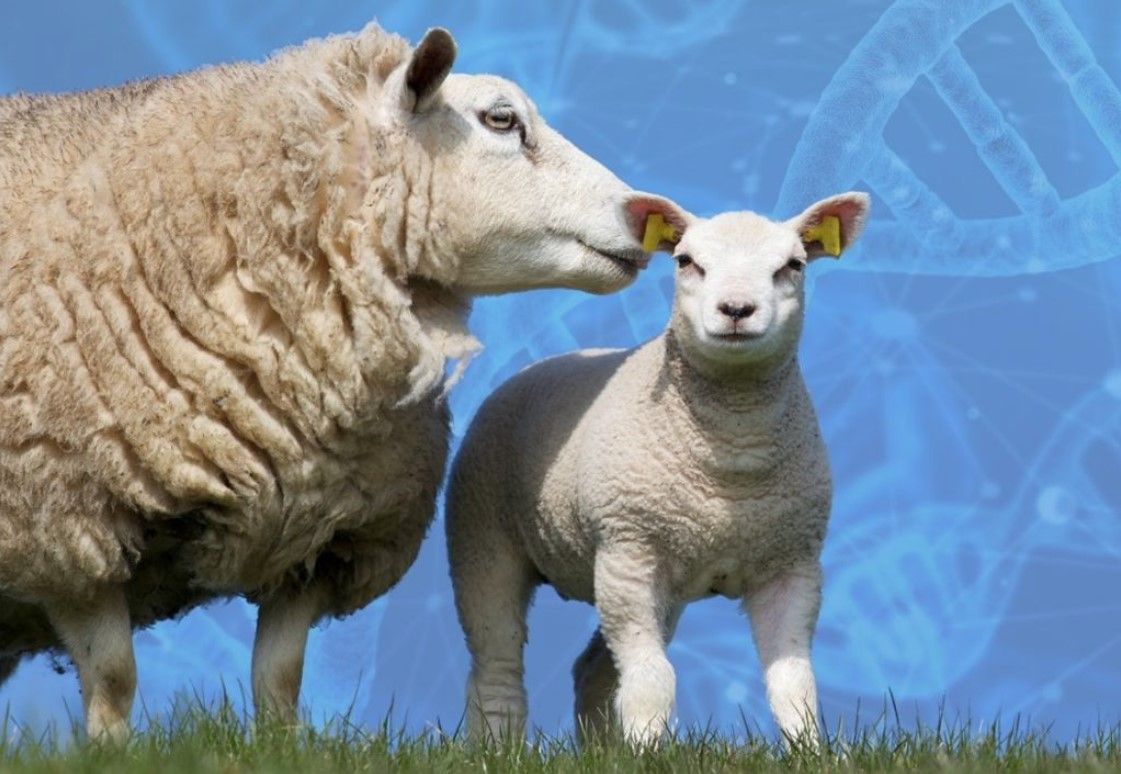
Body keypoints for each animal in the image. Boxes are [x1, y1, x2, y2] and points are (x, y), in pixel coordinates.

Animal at [0, 23, 686, 740]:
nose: (643, 212)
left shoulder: (321, 535)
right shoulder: (63, 526)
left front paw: (280, 745)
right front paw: (110, 750)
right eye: (501, 119)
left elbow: (279, 678)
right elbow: (113, 677)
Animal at [446, 192, 870, 747]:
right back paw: (496, 748)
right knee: (496, 666)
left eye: (793, 266)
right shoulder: (628, 549)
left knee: (593, 669)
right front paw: (651, 750)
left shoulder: (791, 562)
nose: (737, 310)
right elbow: (654, 678)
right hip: (484, 539)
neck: (732, 458)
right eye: (686, 262)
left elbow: (793, 680)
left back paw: (602, 750)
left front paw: (809, 751)